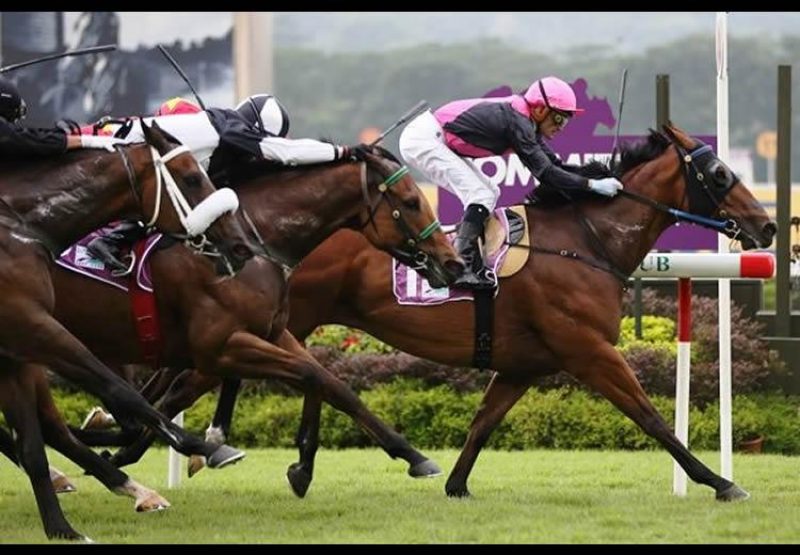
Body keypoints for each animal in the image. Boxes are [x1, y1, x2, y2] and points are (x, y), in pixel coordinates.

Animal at [0, 120, 253, 540]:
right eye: (191, 177)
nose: (240, 244)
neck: (18, 226)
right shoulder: (30, 324)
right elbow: (121, 390)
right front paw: (203, 445)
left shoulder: (15, 352)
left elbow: (32, 448)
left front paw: (61, 529)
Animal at [47, 146, 462, 498]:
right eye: (411, 202)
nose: (453, 262)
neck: (254, 241)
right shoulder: (221, 345)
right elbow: (310, 377)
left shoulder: (274, 332)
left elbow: (329, 382)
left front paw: (409, 455)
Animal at [131, 125, 776, 504]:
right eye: (721, 174)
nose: (768, 225)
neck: (585, 241)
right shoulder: (588, 351)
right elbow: (652, 418)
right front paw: (720, 482)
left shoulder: (524, 364)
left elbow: (483, 423)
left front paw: (457, 484)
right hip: (274, 324)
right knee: (191, 381)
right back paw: (162, 446)